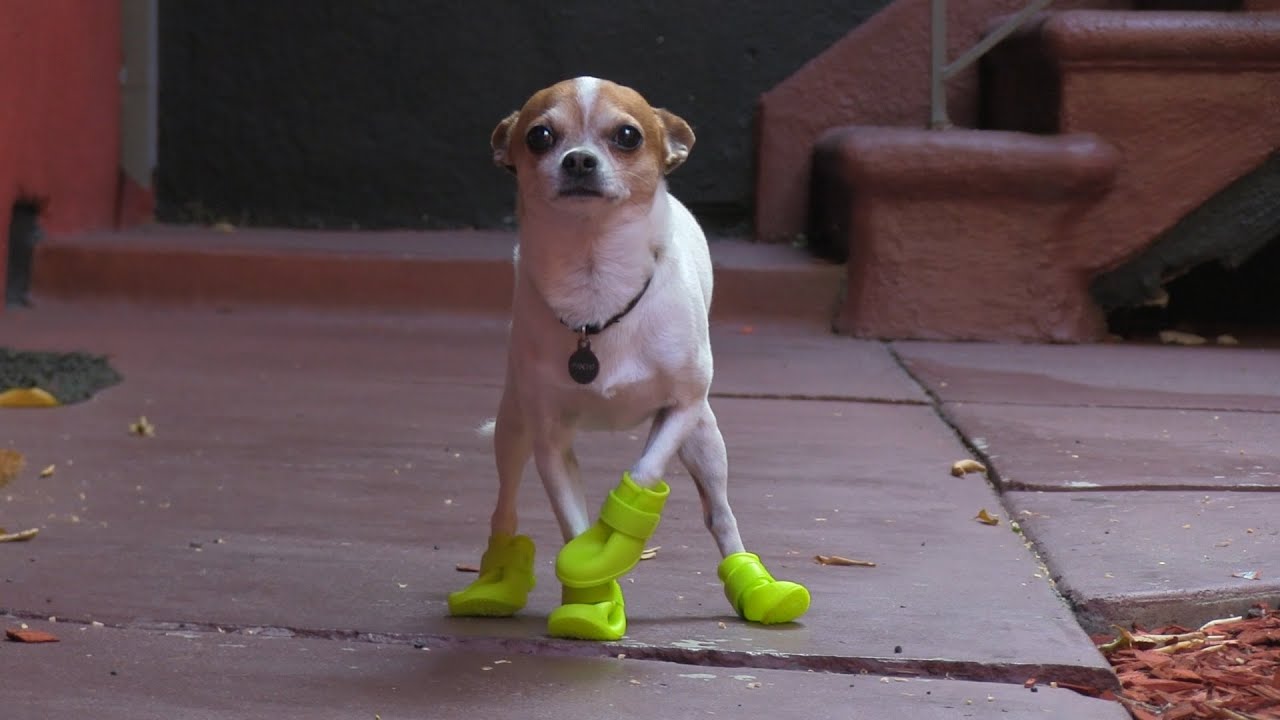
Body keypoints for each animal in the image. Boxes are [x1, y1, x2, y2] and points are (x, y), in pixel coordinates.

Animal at [453, 77, 808, 638]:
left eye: (627, 135)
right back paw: (492, 584)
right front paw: (592, 599)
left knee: (720, 515)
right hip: (513, 429)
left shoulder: (681, 410)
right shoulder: (550, 442)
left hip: (706, 442)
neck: (596, 282)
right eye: (539, 136)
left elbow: (642, 474)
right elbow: (572, 523)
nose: (578, 160)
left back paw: (759, 589)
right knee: (504, 508)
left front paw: (610, 544)